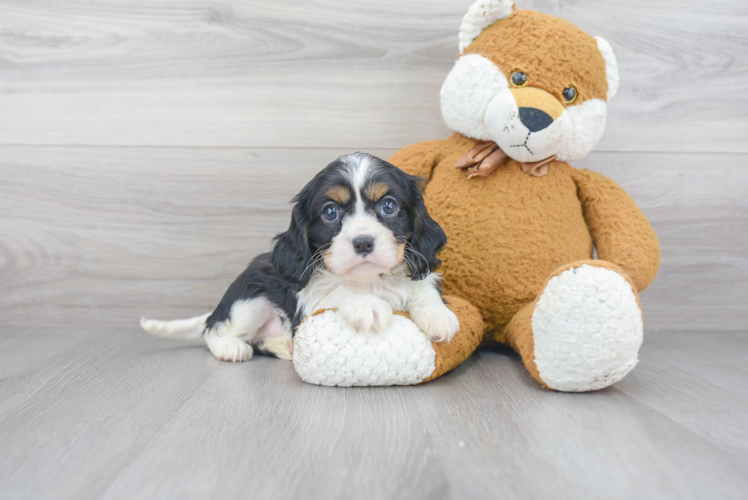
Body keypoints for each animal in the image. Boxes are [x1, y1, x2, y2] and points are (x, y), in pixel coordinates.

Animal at [140, 150, 456, 362]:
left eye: (389, 206)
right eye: (330, 212)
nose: (363, 242)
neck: (369, 281)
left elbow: (423, 287)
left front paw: (437, 314)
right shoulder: (308, 302)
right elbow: (338, 290)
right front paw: (366, 304)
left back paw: (283, 346)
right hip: (251, 298)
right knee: (212, 331)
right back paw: (231, 347)